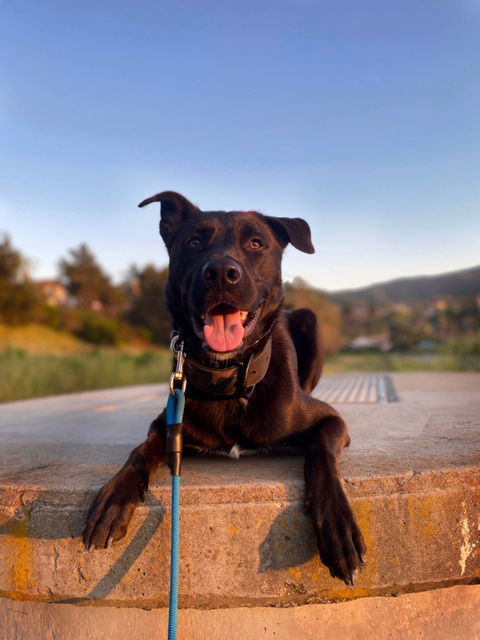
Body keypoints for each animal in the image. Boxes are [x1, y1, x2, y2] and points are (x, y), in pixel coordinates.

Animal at [83, 191, 368, 584]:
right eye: (194, 242)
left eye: (256, 243)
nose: (220, 273)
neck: (230, 380)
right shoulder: (168, 423)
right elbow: (141, 450)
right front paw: (114, 497)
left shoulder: (331, 420)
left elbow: (321, 453)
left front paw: (339, 526)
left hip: (309, 320)